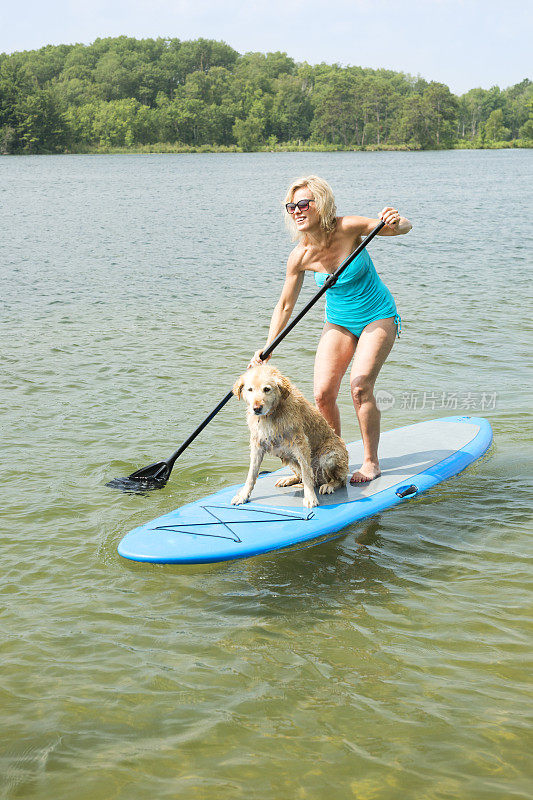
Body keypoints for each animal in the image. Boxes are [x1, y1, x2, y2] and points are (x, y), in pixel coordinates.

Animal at [230, 362, 350, 506]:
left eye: (266, 389)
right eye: (250, 389)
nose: (256, 408)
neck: (271, 414)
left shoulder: (301, 444)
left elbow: (306, 473)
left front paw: (310, 498)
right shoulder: (257, 445)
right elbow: (251, 475)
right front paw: (243, 495)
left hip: (329, 456)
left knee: (339, 480)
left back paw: (329, 485)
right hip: (289, 458)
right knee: (301, 476)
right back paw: (289, 480)